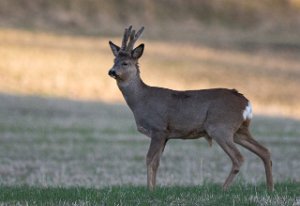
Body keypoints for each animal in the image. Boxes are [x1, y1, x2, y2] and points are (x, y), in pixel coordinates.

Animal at [108, 26, 274, 192]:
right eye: (114, 60)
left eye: (125, 63)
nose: (111, 71)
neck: (141, 100)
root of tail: (246, 102)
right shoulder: (166, 135)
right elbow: (156, 163)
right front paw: (153, 189)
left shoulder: (158, 128)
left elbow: (149, 159)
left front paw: (149, 190)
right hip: (239, 130)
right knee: (264, 151)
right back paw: (270, 188)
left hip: (220, 127)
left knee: (239, 157)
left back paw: (223, 188)